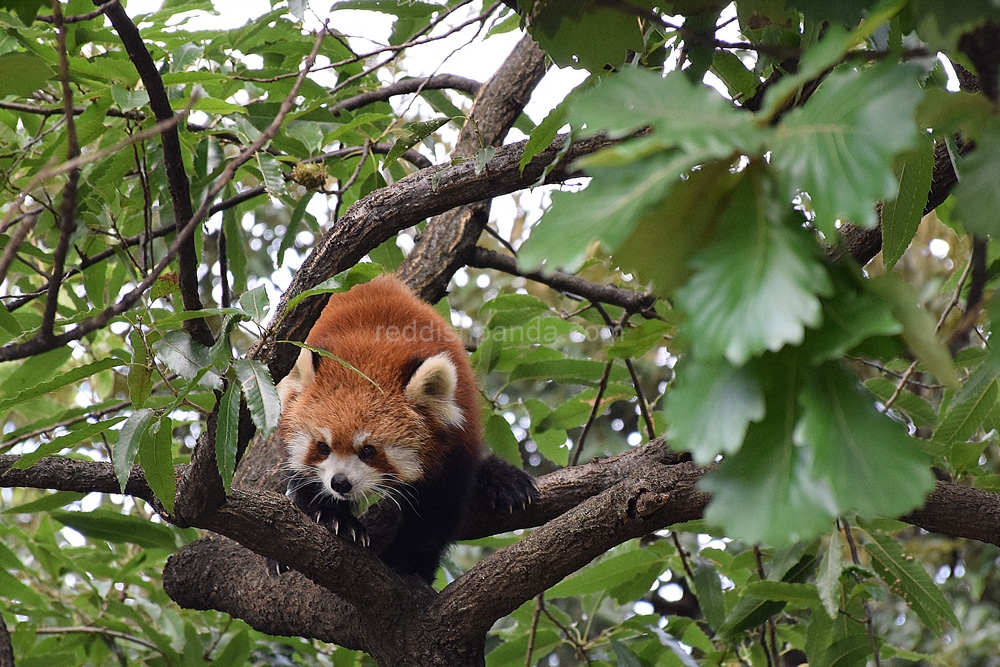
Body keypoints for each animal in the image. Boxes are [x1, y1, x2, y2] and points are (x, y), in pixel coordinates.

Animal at [274, 274, 540, 580]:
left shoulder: (455, 442)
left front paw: (407, 560)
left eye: (369, 450)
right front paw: (334, 518)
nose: (340, 483)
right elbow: (306, 483)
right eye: (322, 446)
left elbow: (438, 510)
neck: (369, 352)